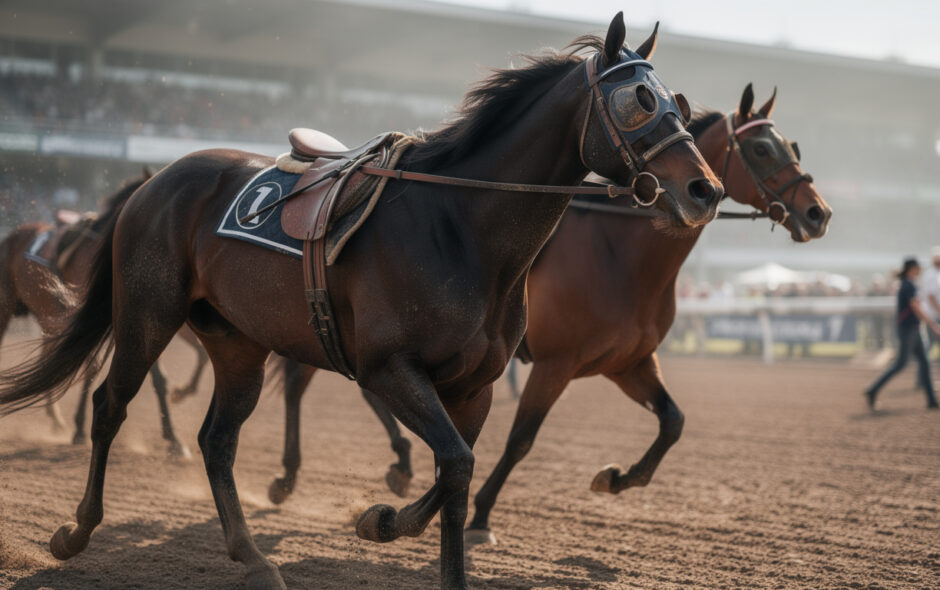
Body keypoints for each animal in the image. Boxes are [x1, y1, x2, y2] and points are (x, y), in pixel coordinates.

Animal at [0, 174, 208, 456]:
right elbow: (94, 367)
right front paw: (79, 429)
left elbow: (160, 379)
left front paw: (174, 437)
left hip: (48, 318)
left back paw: (55, 419)